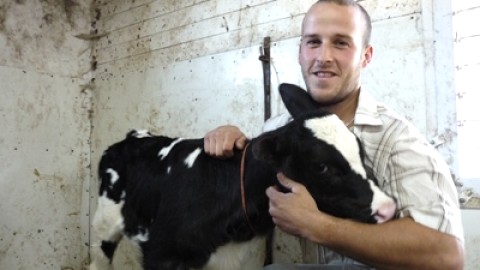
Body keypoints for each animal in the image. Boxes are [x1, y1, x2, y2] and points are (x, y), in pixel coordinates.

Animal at [90, 83, 398, 268]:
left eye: (359, 148)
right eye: (321, 166)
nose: (387, 207)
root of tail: (134, 136)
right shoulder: (162, 252)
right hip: (103, 226)